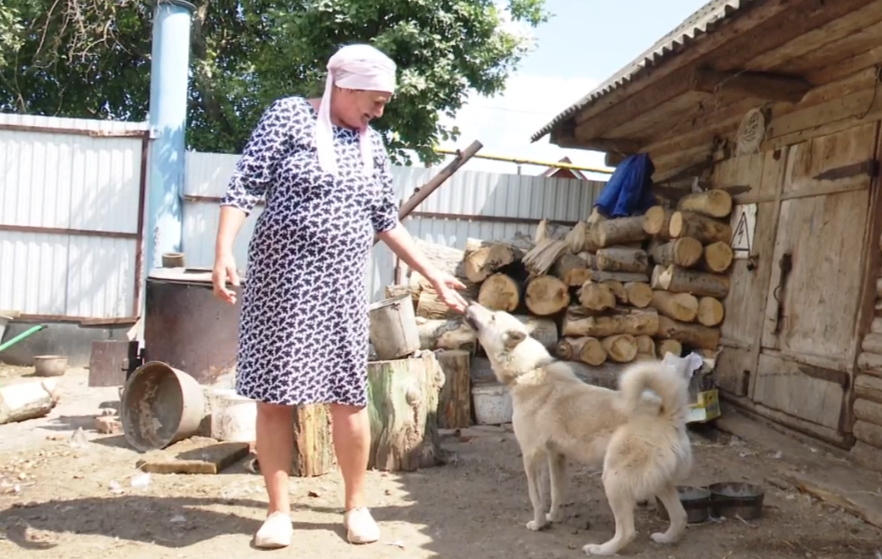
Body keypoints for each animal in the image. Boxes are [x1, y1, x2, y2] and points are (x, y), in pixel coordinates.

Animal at [460, 304, 700, 556]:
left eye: (493, 316)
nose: (470, 304)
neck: (530, 371)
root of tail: (669, 415)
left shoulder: (531, 455)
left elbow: (536, 497)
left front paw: (538, 523)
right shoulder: (556, 456)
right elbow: (556, 492)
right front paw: (553, 518)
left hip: (614, 479)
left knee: (627, 531)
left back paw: (600, 549)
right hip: (658, 481)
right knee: (680, 516)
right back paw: (666, 538)